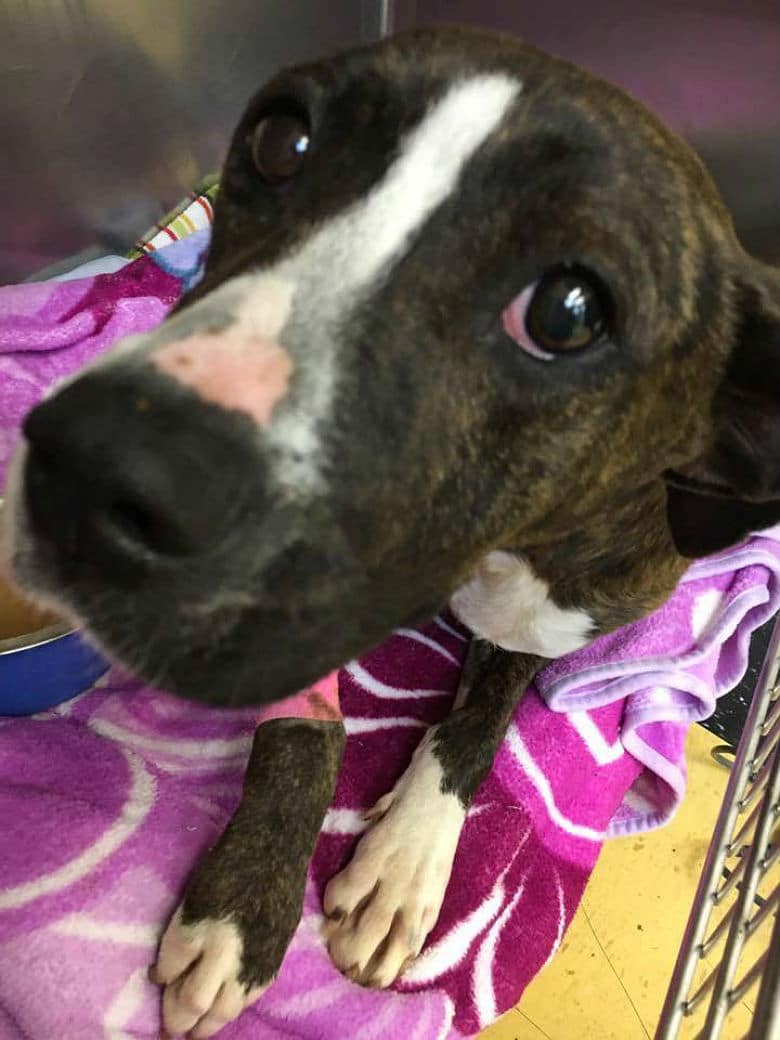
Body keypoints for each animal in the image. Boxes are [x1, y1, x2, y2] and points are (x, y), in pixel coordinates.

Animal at [1, 24, 780, 1040]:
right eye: (280, 140)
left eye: (567, 313)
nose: (90, 467)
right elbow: (306, 735)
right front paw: (244, 907)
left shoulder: (549, 617)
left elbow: (477, 727)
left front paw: (406, 862)